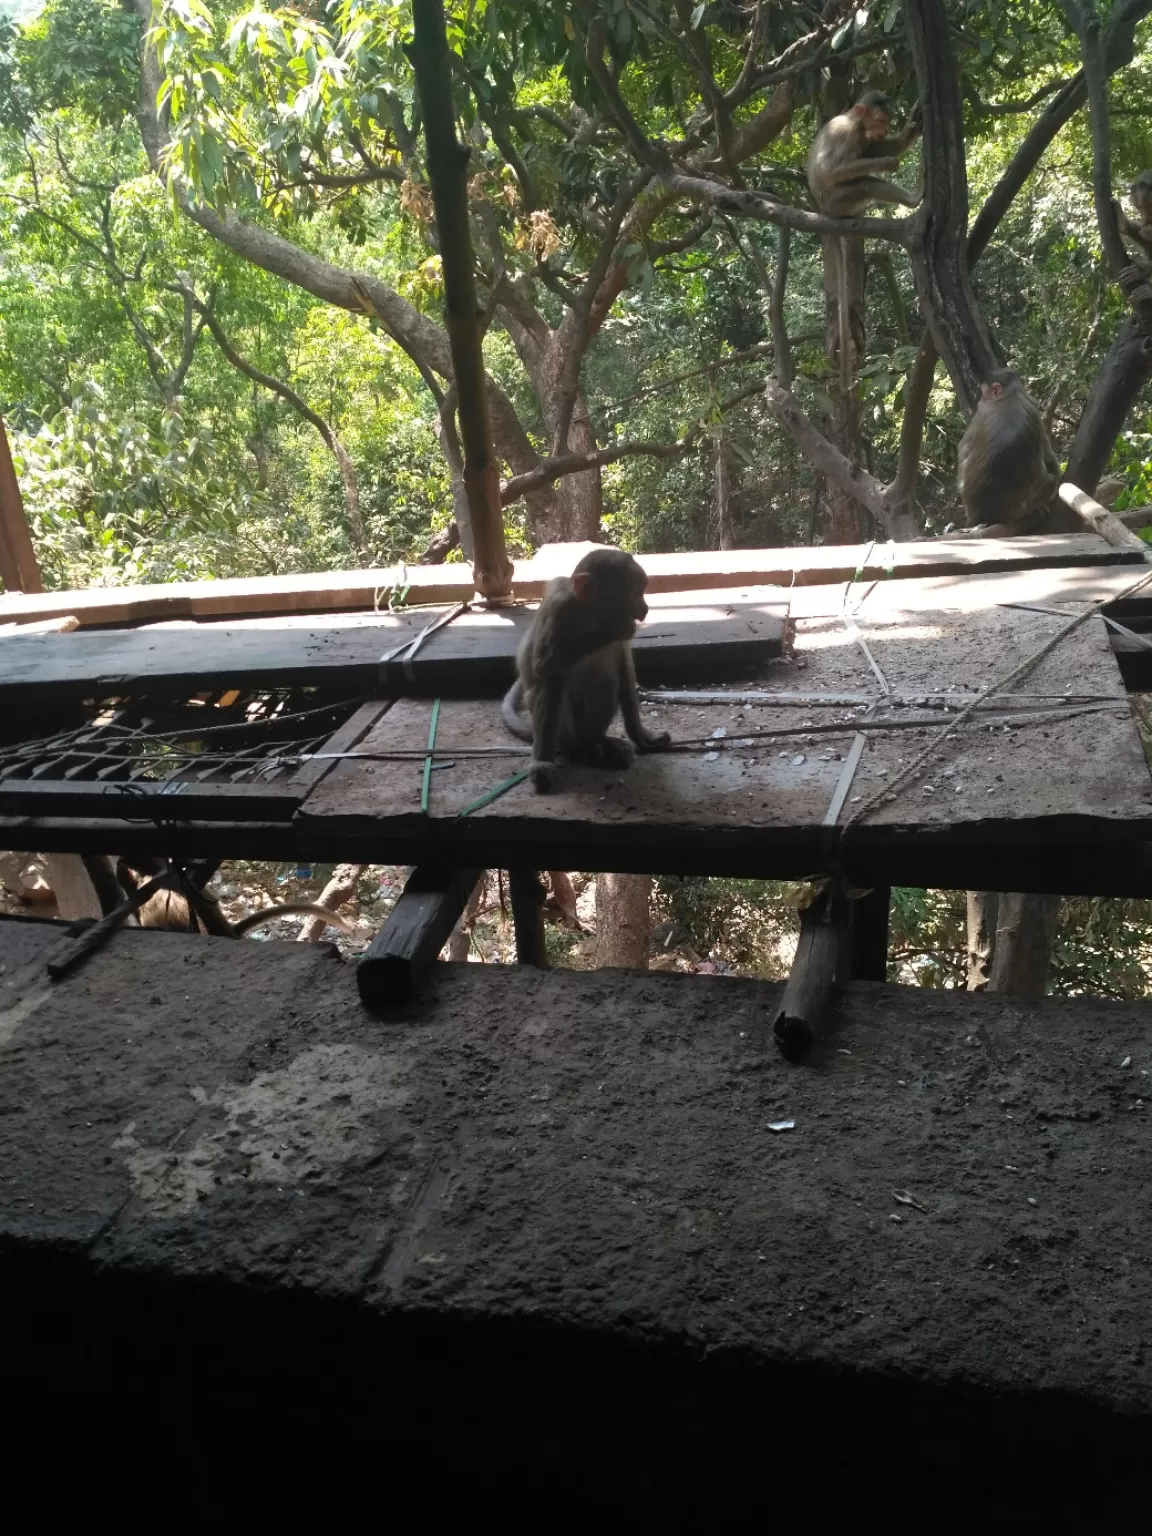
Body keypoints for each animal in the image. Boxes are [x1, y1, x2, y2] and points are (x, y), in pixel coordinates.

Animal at [500, 546, 672, 792]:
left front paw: (642, 736)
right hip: (565, 734)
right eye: (633, 594)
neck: (590, 615)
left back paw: (597, 742)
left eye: (642, 591)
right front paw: (610, 629)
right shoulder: (558, 607)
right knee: (553, 682)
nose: (645, 607)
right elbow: (541, 665)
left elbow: (625, 671)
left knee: (606, 683)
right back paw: (548, 759)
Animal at [804, 89, 927, 396]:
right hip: (837, 200)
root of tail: (825, 212)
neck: (853, 119)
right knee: (864, 182)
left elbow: (880, 148)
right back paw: (912, 198)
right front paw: (886, 164)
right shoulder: (849, 134)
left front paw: (913, 125)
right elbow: (832, 171)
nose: (884, 129)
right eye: (880, 119)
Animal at [958, 368, 1062, 537]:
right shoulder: (1033, 405)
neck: (1009, 395)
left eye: (983, 393)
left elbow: (963, 452)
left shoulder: (980, 415)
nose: (979, 400)